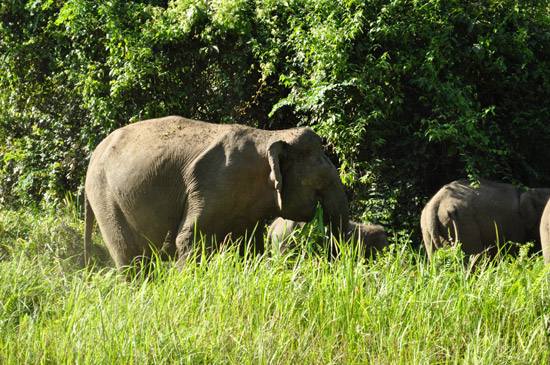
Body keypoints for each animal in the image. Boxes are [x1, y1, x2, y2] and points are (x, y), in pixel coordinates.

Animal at [84, 116, 352, 268]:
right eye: (320, 183)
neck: (272, 136)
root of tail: (94, 155)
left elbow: (247, 245)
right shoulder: (214, 185)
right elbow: (190, 239)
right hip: (105, 197)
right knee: (130, 257)